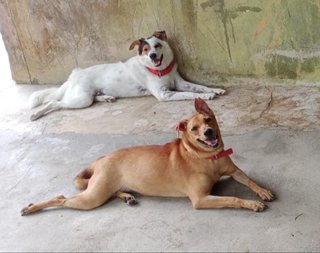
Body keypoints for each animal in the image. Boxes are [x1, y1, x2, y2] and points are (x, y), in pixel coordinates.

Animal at [21, 98, 274, 214]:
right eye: (194, 129)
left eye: (208, 120)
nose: (208, 132)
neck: (207, 158)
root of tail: (101, 159)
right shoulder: (200, 199)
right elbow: (233, 198)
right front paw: (252, 204)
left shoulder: (234, 171)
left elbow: (250, 180)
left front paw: (262, 191)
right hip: (92, 197)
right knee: (62, 198)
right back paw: (31, 207)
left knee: (113, 192)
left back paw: (127, 196)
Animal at [29, 30, 225, 120]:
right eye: (145, 50)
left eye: (157, 46)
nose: (153, 55)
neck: (160, 70)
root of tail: (73, 76)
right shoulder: (165, 94)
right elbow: (189, 94)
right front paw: (207, 96)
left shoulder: (179, 83)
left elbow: (198, 86)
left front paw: (215, 90)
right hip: (81, 99)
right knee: (54, 103)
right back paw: (36, 115)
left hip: (88, 97)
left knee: (93, 97)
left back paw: (106, 97)